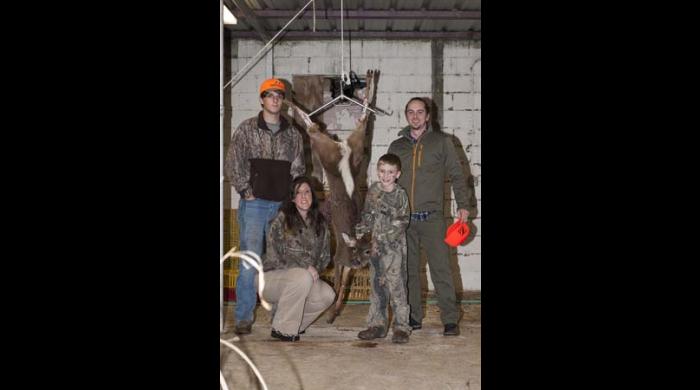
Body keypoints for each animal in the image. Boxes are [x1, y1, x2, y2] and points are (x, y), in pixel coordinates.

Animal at [288, 69, 380, 322]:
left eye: (369, 249)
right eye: (363, 250)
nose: (363, 261)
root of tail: (343, 149)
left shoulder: (347, 264)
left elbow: (344, 286)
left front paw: (334, 312)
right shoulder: (339, 257)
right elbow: (338, 284)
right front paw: (330, 313)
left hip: (355, 149)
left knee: (362, 121)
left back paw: (370, 80)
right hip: (328, 151)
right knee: (313, 127)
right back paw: (291, 104)